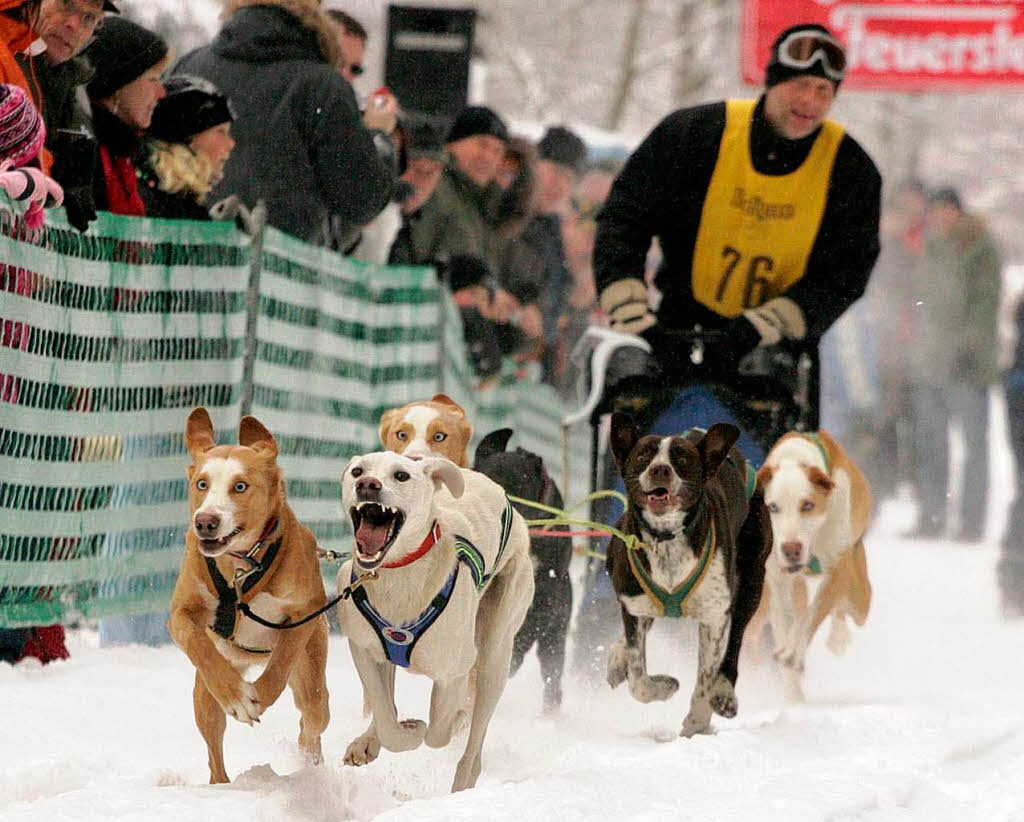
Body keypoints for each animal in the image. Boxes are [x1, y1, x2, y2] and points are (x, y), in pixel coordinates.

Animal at [167, 409, 327, 786]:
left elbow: (280, 664)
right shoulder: (182, 612)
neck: (241, 566)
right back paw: (221, 786)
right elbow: (195, 640)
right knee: (214, 746)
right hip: (204, 698)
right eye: (202, 484)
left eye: (240, 486)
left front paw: (259, 696)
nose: (206, 521)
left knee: (312, 719)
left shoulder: (303, 613)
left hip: (312, 674)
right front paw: (237, 696)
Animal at [337, 450, 536, 790]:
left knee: (475, 737)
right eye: (357, 471)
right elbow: (386, 716)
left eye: (401, 475)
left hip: (495, 655)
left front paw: (442, 723)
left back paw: (464, 780)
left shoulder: (453, 672)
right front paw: (398, 732)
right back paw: (369, 740)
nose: (368, 484)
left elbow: (438, 733)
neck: (399, 576)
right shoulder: (364, 649)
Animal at [606, 415, 770, 737]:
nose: (660, 469)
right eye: (643, 455)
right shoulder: (634, 607)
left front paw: (697, 722)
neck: (666, 537)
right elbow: (638, 679)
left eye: (681, 458)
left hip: (752, 581)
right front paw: (662, 685)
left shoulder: (714, 616)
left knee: (735, 640)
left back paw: (724, 692)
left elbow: (706, 677)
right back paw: (618, 657)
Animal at [753, 429, 872, 700]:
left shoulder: (838, 567)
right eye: (773, 507)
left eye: (807, 505)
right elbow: (787, 620)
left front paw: (793, 650)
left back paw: (837, 637)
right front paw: (793, 696)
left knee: (845, 606)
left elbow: (812, 613)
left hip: (860, 596)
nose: (791, 549)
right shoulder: (778, 580)